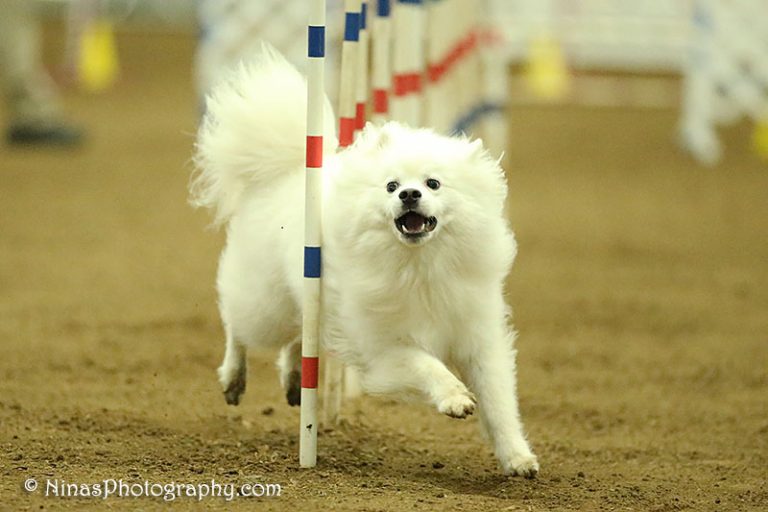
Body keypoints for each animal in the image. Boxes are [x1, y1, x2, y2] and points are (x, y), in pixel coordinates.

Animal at [192, 46, 540, 478]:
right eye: (391, 186)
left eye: (433, 183)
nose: (408, 194)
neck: (420, 265)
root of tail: (281, 173)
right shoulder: (383, 347)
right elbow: (426, 365)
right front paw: (455, 398)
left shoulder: (478, 339)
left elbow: (499, 405)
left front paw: (517, 457)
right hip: (266, 304)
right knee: (238, 328)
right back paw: (234, 379)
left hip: (307, 301)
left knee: (297, 339)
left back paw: (294, 380)